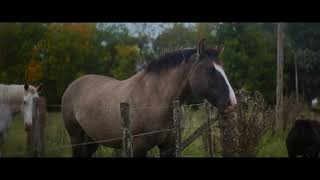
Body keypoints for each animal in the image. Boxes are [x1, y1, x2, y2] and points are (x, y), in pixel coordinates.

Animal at [62, 39, 238, 156]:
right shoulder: (139, 149)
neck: (155, 99)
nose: (232, 102)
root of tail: (73, 85)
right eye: (209, 70)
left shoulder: (168, 147)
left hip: (91, 141)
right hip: (76, 138)